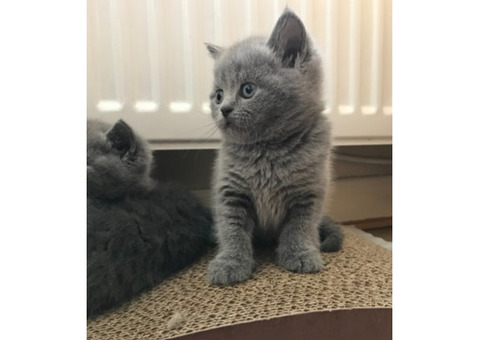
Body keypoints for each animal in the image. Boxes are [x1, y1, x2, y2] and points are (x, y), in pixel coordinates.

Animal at [204, 8, 344, 284]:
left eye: (248, 89)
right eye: (218, 95)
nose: (224, 109)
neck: (267, 149)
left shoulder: (309, 193)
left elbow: (300, 227)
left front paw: (300, 254)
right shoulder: (230, 191)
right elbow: (231, 229)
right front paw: (230, 263)